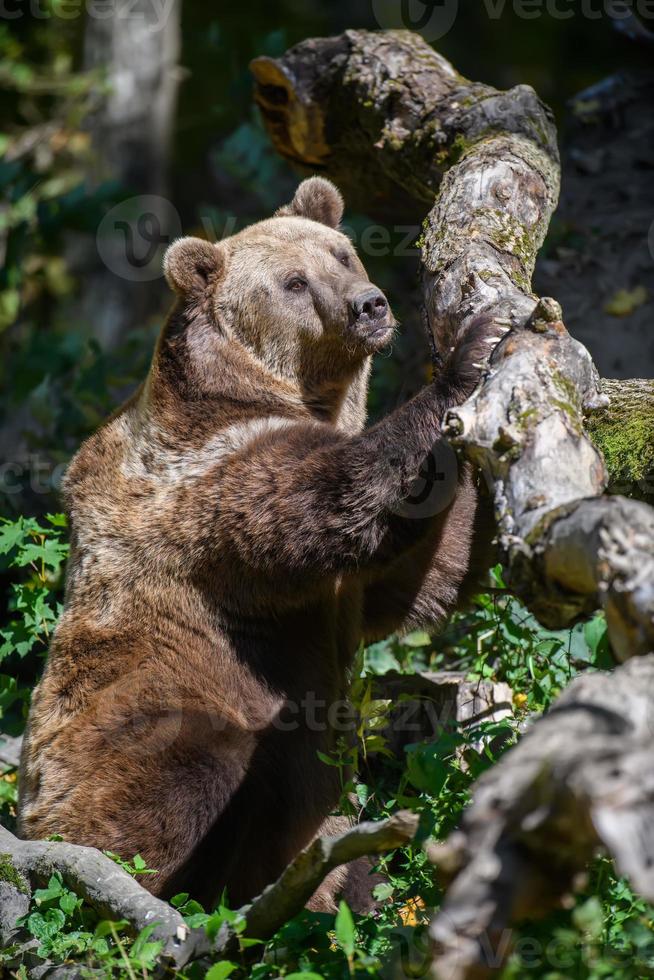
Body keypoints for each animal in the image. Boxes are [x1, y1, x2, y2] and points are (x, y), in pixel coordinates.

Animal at [18, 176, 494, 912]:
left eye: (341, 253)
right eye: (294, 283)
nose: (369, 305)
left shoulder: (347, 590)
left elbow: (422, 576)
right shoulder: (212, 477)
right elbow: (339, 502)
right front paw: (470, 351)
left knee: (346, 849)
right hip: (126, 730)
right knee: (199, 769)